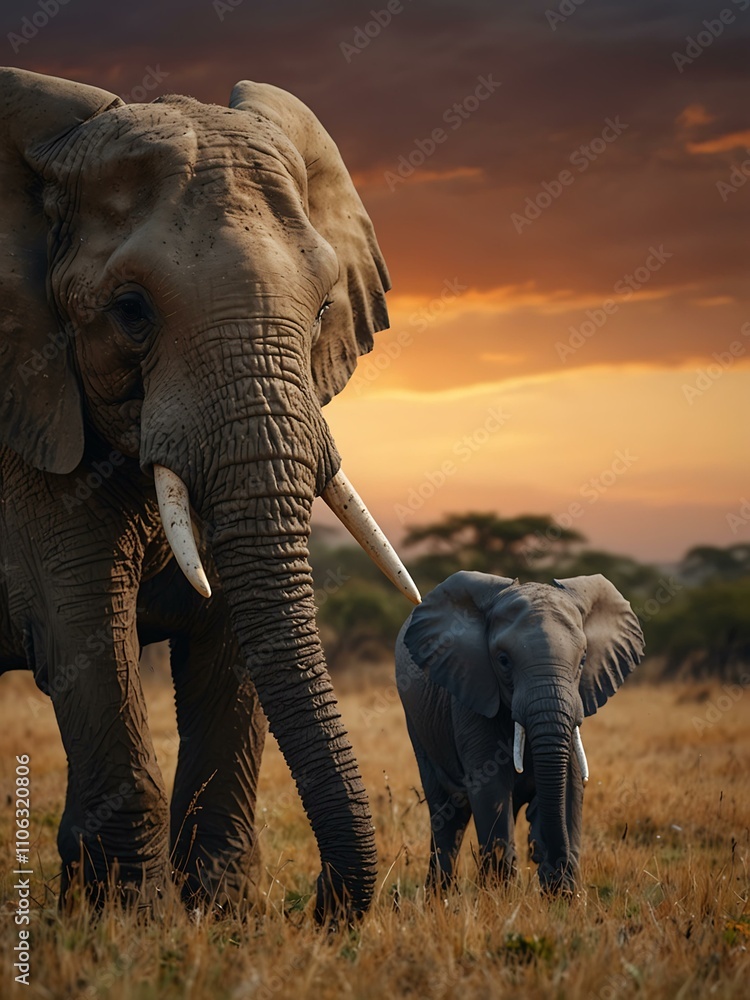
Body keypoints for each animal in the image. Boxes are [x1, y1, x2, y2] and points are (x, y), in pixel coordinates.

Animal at [0, 67, 421, 921]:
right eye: (131, 311)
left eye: (322, 310)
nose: (323, 906)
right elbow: (83, 633)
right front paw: (126, 926)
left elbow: (229, 638)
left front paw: (221, 918)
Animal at [395, 571, 644, 894]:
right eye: (503, 661)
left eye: (583, 660)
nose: (540, 856)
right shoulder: (471, 697)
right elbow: (489, 787)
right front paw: (501, 897)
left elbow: (570, 785)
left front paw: (563, 896)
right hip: (418, 725)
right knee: (448, 811)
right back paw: (441, 897)